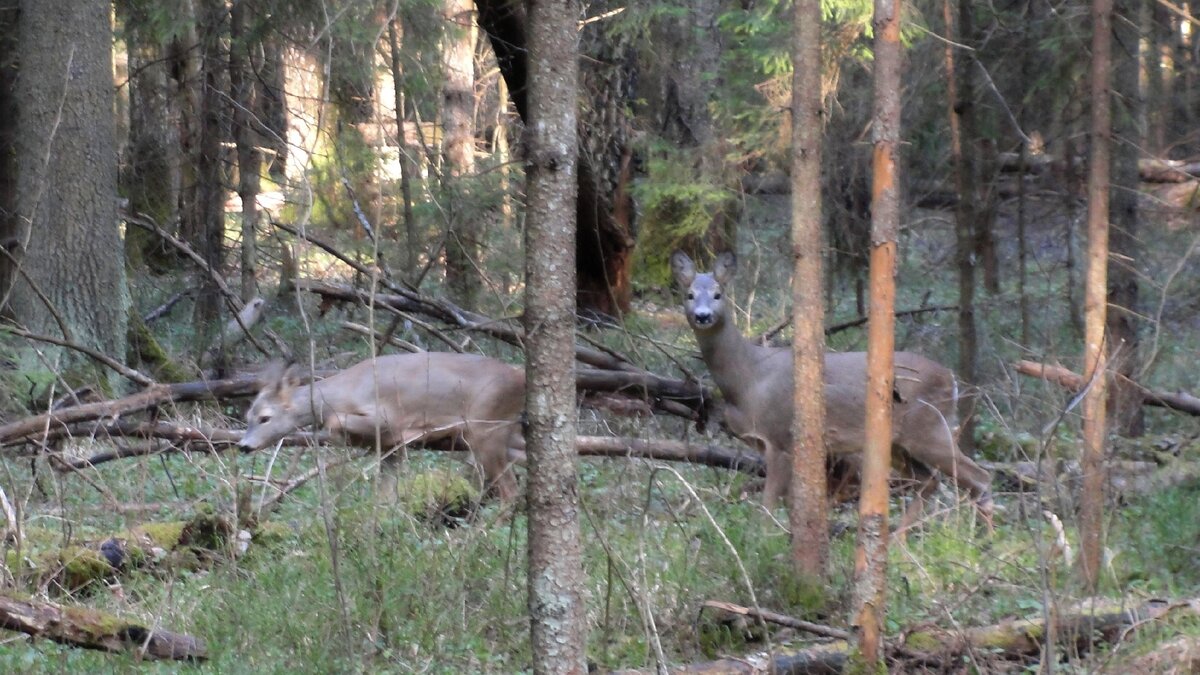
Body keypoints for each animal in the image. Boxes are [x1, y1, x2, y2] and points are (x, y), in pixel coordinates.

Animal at [238, 348, 525, 497]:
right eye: (248, 416)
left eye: (265, 418)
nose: (243, 445)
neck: (344, 392)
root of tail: (519, 377)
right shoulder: (388, 446)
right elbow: (386, 493)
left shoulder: (388, 419)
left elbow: (335, 420)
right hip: (506, 432)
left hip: (484, 426)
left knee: (510, 490)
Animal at [667, 251, 993, 521]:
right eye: (689, 294)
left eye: (718, 294)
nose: (703, 316)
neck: (748, 378)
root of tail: (950, 377)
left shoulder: (780, 436)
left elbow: (768, 506)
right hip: (902, 442)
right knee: (930, 481)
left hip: (929, 428)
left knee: (979, 478)